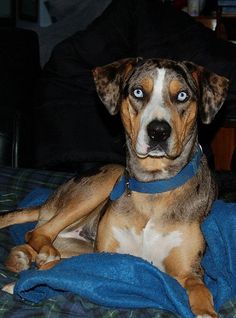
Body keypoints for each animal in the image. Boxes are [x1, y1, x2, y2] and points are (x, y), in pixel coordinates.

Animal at [0, 58, 229, 316]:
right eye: (138, 92)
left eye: (182, 95)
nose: (158, 132)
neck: (154, 187)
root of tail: (49, 202)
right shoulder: (105, 256)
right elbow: (62, 269)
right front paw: (19, 283)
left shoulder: (188, 271)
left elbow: (200, 290)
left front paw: (205, 311)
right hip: (105, 180)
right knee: (39, 232)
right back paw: (37, 255)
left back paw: (23, 256)